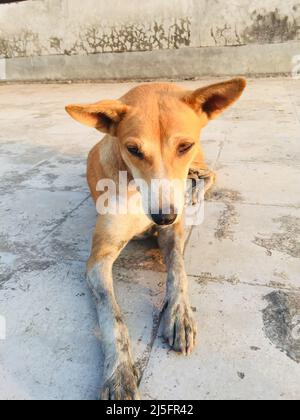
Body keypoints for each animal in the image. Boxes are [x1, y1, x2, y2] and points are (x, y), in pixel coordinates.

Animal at [65, 79, 246, 400]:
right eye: (133, 149)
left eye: (183, 146)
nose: (163, 217)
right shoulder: (98, 259)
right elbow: (111, 316)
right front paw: (119, 373)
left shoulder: (173, 232)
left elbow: (178, 271)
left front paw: (180, 315)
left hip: (198, 162)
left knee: (208, 174)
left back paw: (195, 192)